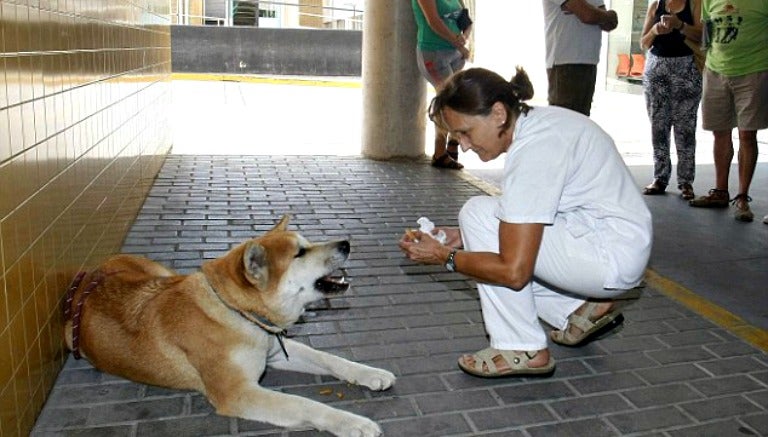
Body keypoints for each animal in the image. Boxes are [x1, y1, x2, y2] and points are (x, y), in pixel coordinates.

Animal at [63, 215, 396, 436]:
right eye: (300, 253)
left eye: (306, 243)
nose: (346, 243)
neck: (236, 312)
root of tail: (91, 276)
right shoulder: (239, 393)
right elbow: (305, 405)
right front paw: (352, 422)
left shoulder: (275, 350)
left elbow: (330, 359)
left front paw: (370, 373)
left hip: (163, 274)